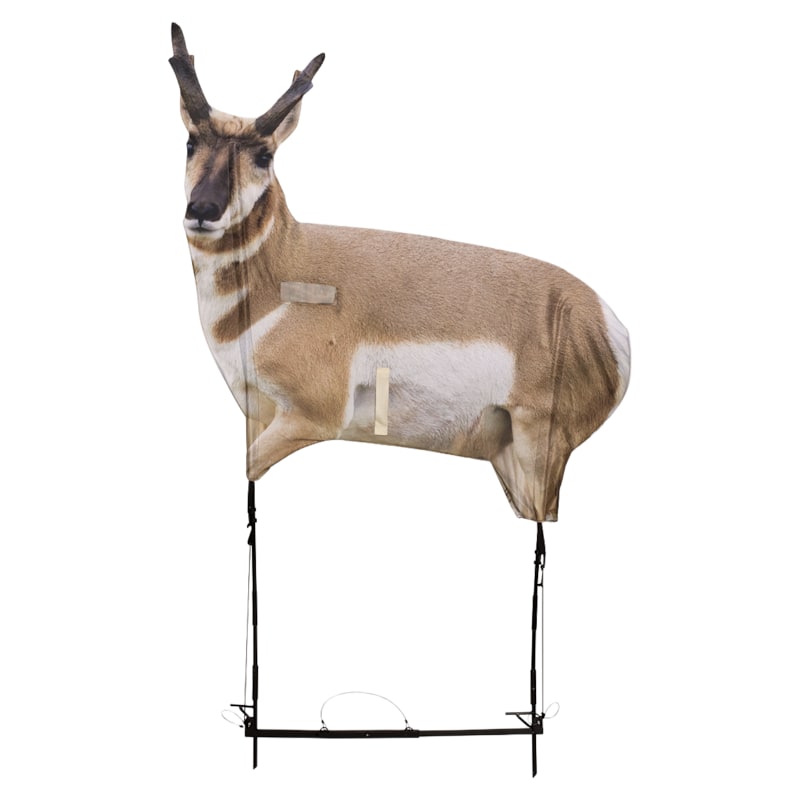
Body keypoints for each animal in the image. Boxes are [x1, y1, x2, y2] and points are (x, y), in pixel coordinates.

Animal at [169, 23, 630, 522]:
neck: (287, 269)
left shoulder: (310, 418)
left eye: (264, 156)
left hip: (537, 449)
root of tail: (605, 320)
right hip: (507, 457)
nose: (203, 210)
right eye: (190, 143)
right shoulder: (257, 413)